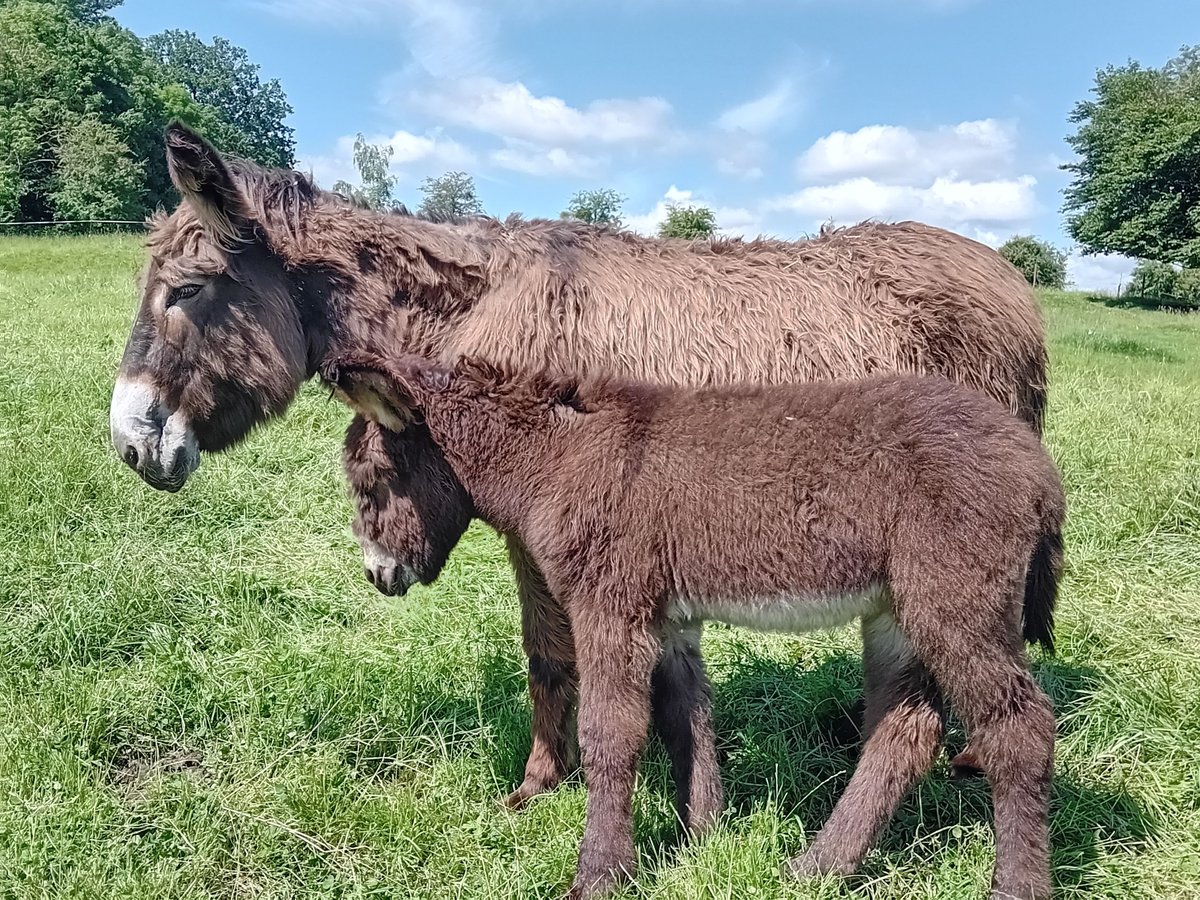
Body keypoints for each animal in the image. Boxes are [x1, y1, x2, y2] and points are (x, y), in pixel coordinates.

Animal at [324, 352, 1065, 900]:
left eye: (374, 480)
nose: (377, 576)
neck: (560, 457)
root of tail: (1035, 461)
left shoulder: (610, 607)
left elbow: (611, 736)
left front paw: (601, 876)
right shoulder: (668, 619)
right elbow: (687, 720)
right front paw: (702, 839)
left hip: (954, 602)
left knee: (1019, 730)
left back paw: (1015, 886)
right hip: (897, 614)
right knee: (904, 734)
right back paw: (817, 868)